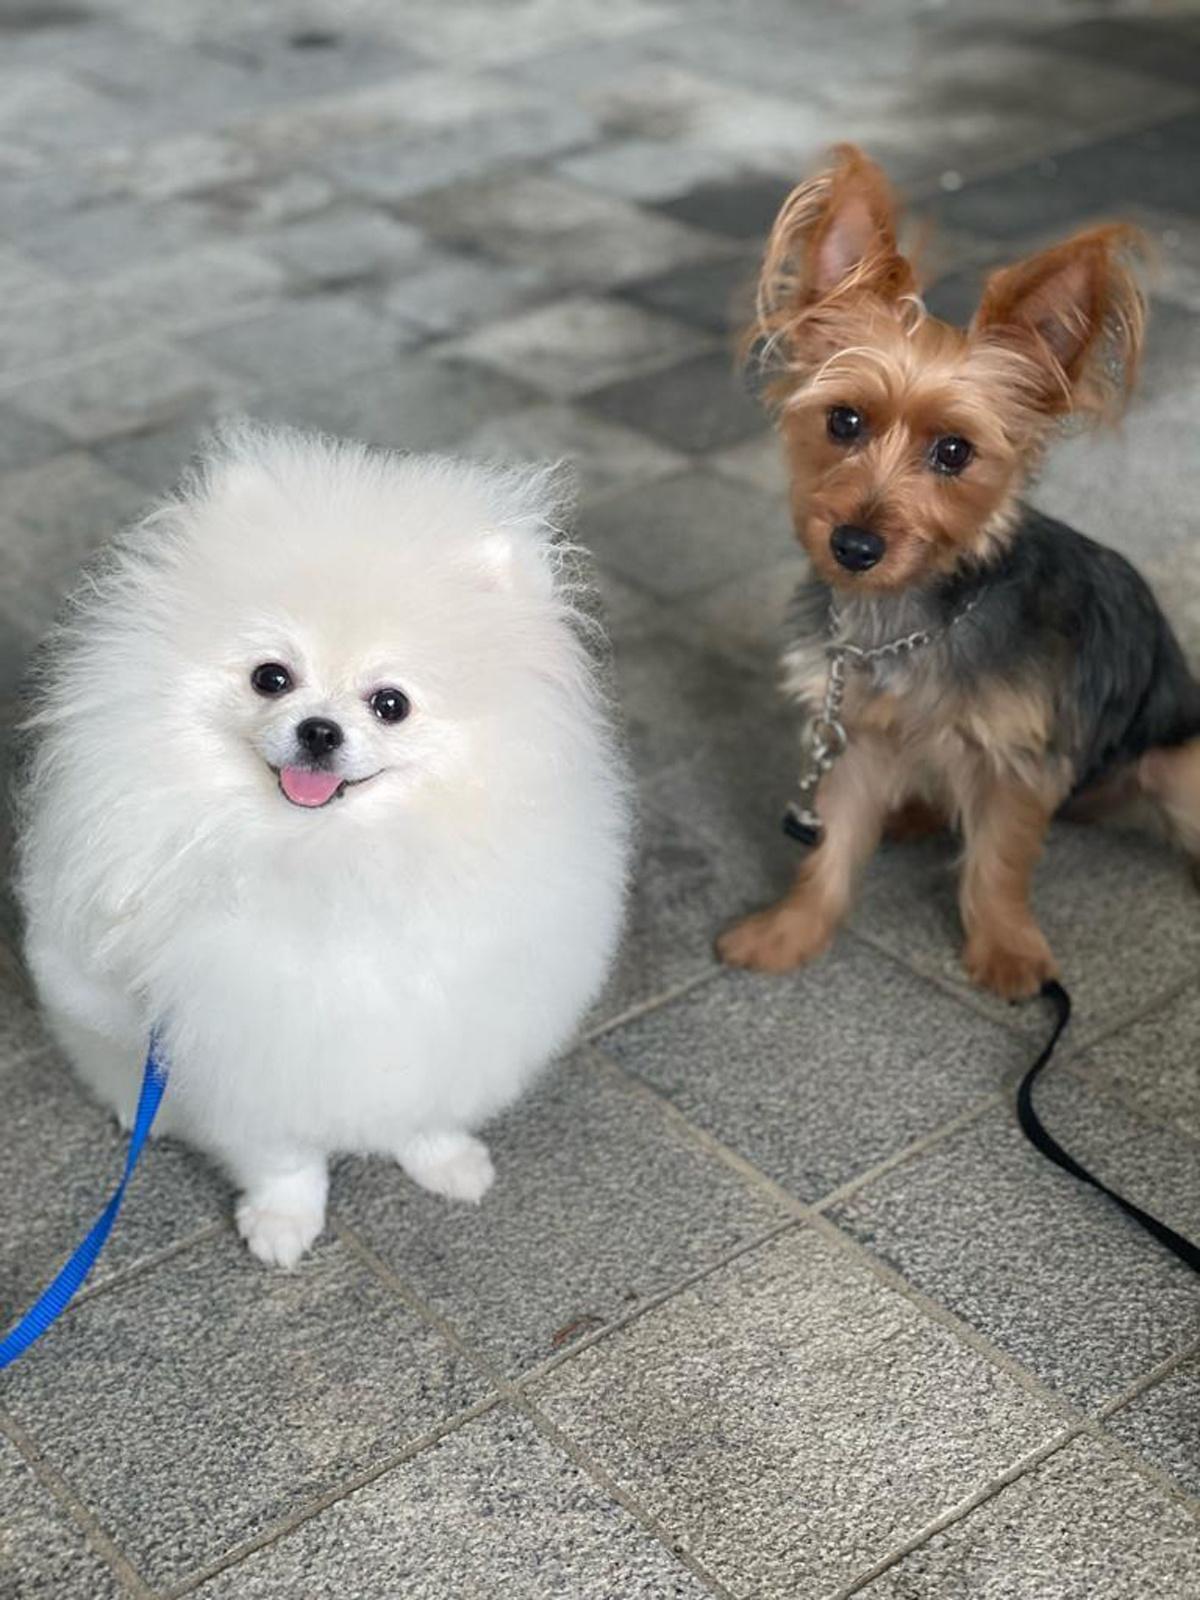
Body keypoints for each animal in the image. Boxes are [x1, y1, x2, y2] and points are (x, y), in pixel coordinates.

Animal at [18, 425, 633, 1260]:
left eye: (390, 704)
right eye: (271, 678)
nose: (319, 730)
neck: (334, 859)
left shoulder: (453, 1009)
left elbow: (423, 1108)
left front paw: (447, 1164)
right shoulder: (240, 1039)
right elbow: (281, 1155)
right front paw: (283, 1223)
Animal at [720, 150, 1200, 998]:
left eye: (954, 452)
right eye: (843, 421)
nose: (854, 545)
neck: (905, 621)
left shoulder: (1017, 762)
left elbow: (999, 862)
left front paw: (1009, 954)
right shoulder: (854, 739)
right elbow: (829, 848)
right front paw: (789, 933)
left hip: (1178, 759)